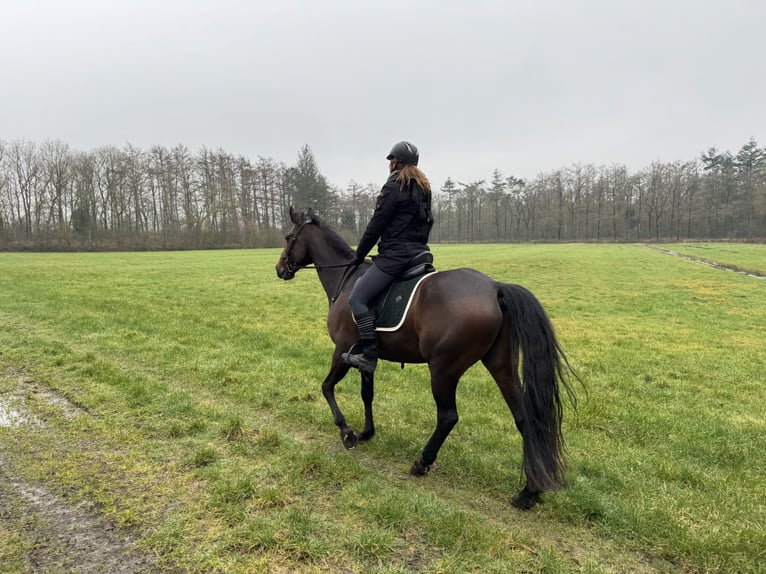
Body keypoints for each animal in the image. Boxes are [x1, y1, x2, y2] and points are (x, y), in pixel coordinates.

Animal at [272, 206, 580, 508]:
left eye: (288, 237)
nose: (279, 268)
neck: (346, 282)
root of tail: (495, 288)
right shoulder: (364, 355)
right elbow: (366, 393)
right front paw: (367, 432)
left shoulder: (342, 350)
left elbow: (327, 387)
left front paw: (347, 432)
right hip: (500, 365)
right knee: (524, 418)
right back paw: (529, 492)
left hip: (444, 369)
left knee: (448, 417)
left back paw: (422, 462)